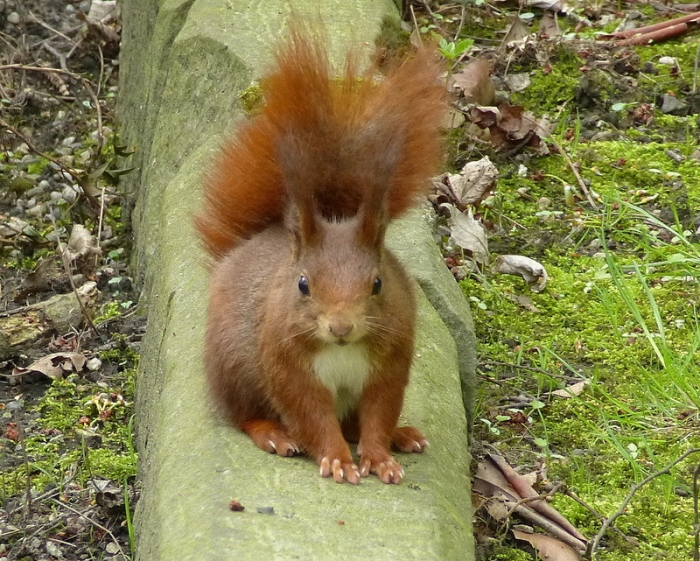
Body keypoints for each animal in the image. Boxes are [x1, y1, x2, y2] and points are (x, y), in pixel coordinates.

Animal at [195, 26, 447, 484]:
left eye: (378, 283)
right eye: (303, 284)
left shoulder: (389, 364)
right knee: (244, 415)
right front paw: (336, 459)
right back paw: (273, 434)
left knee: (355, 422)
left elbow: (379, 413)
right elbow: (312, 417)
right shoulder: (287, 365)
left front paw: (380, 456)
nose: (341, 327)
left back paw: (402, 436)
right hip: (233, 365)